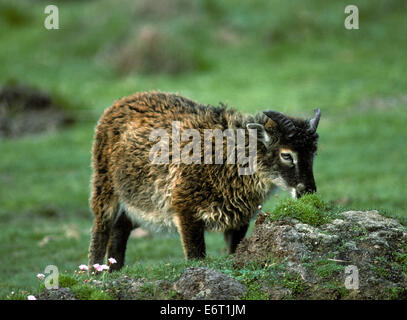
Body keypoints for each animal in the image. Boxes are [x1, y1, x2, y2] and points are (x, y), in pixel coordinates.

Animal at [88, 90, 322, 270]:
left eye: (313, 153)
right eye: (286, 155)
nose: (307, 191)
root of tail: (122, 101)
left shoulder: (239, 219)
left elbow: (233, 251)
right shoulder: (186, 212)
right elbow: (196, 256)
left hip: (146, 201)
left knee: (120, 226)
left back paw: (115, 271)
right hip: (104, 183)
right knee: (102, 228)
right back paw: (94, 274)